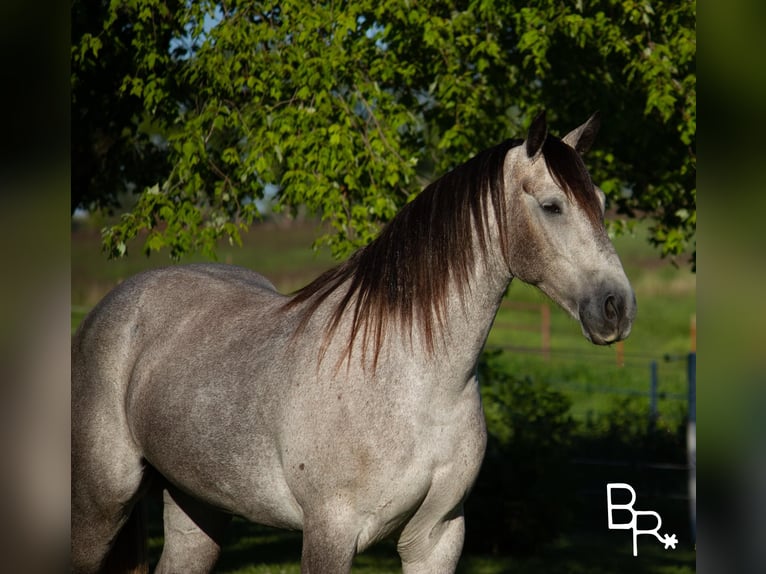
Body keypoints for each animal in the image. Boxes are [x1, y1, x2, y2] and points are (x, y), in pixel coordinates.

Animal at [72, 112, 636, 574]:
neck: (412, 379)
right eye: (552, 206)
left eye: (602, 204)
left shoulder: (437, 539)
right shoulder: (330, 533)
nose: (618, 307)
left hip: (199, 504)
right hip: (101, 502)